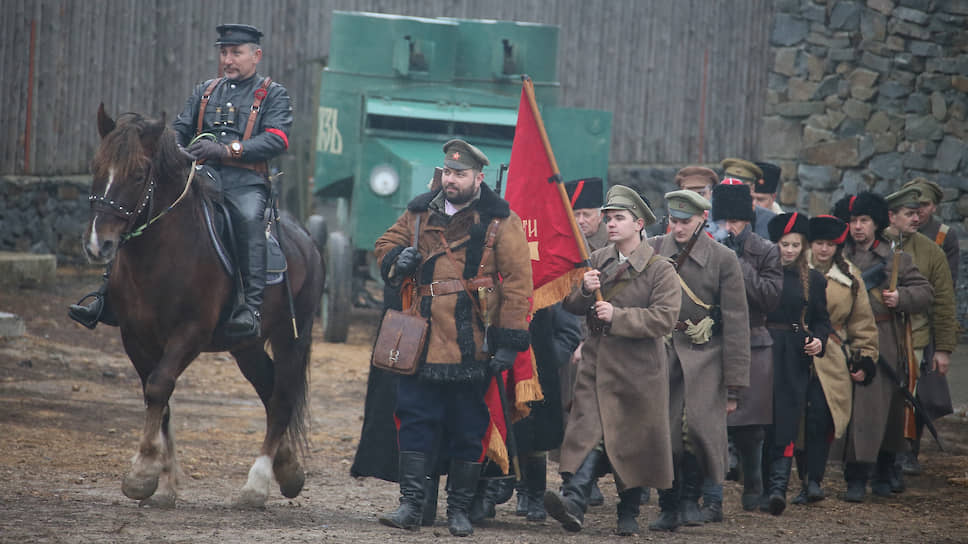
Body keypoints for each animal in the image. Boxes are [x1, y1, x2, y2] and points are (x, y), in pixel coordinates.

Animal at [83, 104, 326, 508]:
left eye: (138, 174)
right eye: (96, 168)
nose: (97, 244)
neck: (161, 256)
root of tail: (306, 239)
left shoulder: (190, 334)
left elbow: (159, 386)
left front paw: (142, 473)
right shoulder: (136, 338)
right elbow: (158, 396)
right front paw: (163, 483)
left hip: (292, 336)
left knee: (281, 397)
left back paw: (257, 484)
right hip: (246, 346)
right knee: (269, 386)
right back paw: (288, 469)